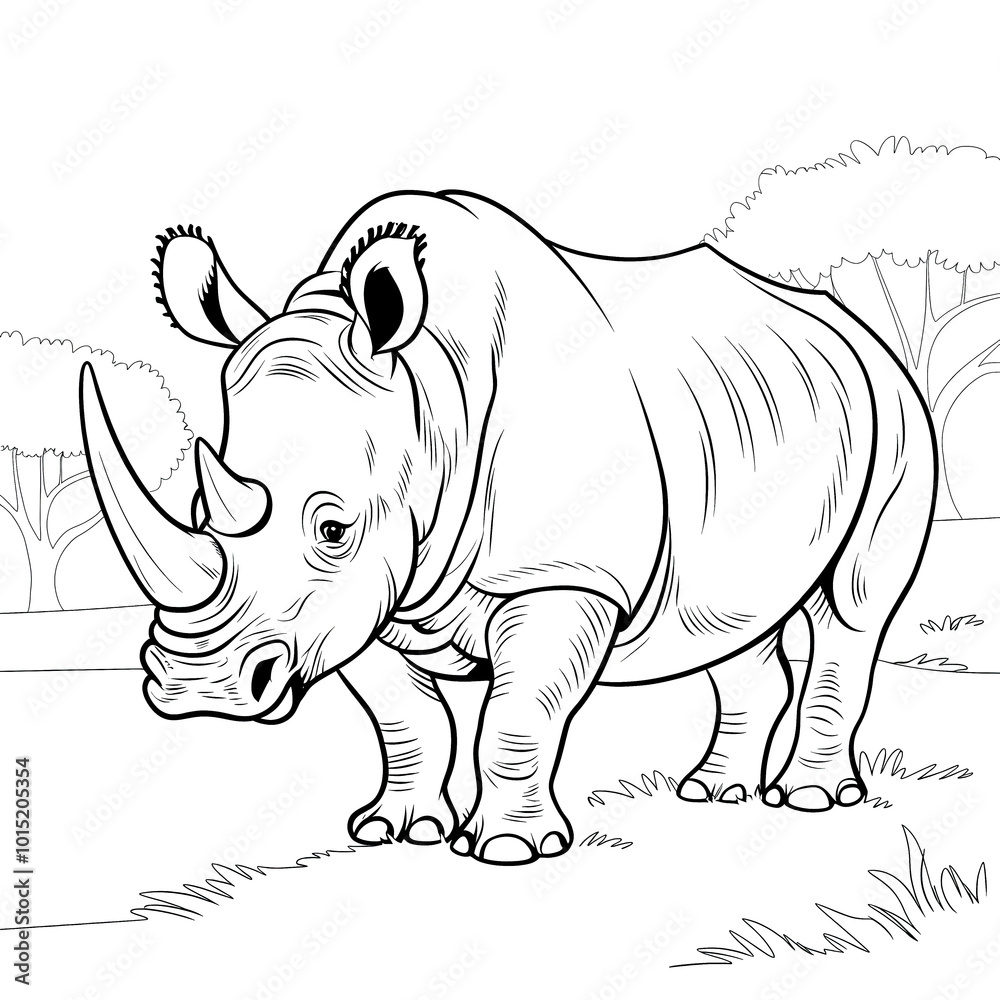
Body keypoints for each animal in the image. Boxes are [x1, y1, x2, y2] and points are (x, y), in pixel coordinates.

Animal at [80, 190, 935, 865]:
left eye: (332, 529)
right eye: (198, 511)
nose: (196, 690)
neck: (429, 398)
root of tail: (856, 330)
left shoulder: (562, 575)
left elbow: (518, 718)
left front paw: (510, 849)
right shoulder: (365, 599)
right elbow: (405, 716)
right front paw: (394, 830)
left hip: (895, 406)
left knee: (852, 610)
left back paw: (810, 798)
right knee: (733, 624)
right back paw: (711, 794)